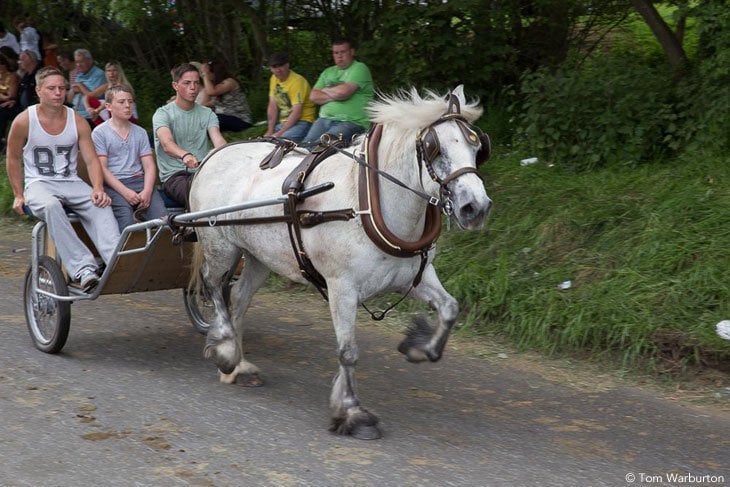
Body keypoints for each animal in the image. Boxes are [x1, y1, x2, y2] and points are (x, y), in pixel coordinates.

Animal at [188, 86, 492, 440]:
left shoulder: (415, 277)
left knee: (238, 298)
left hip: (259, 257)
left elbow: (450, 308)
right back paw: (224, 352)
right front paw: (351, 413)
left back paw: (238, 365)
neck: (366, 202)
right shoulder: (341, 288)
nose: (476, 207)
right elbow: (348, 352)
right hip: (220, 246)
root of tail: (212, 156)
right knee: (213, 286)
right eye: (434, 147)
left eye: (477, 145)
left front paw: (418, 347)